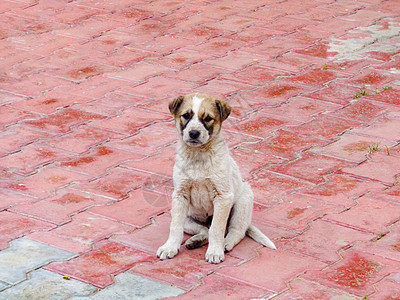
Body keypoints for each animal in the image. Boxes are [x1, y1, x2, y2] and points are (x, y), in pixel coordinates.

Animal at [156, 93, 276, 262]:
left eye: (207, 118)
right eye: (186, 115)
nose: (194, 133)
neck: (198, 155)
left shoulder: (223, 196)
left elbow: (217, 229)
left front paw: (214, 252)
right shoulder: (180, 195)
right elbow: (175, 227)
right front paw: (169, 247)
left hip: (243, 203)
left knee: (234, 230)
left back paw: (225, 244)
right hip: (188, 217)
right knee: (204, 230)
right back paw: (195, 241)